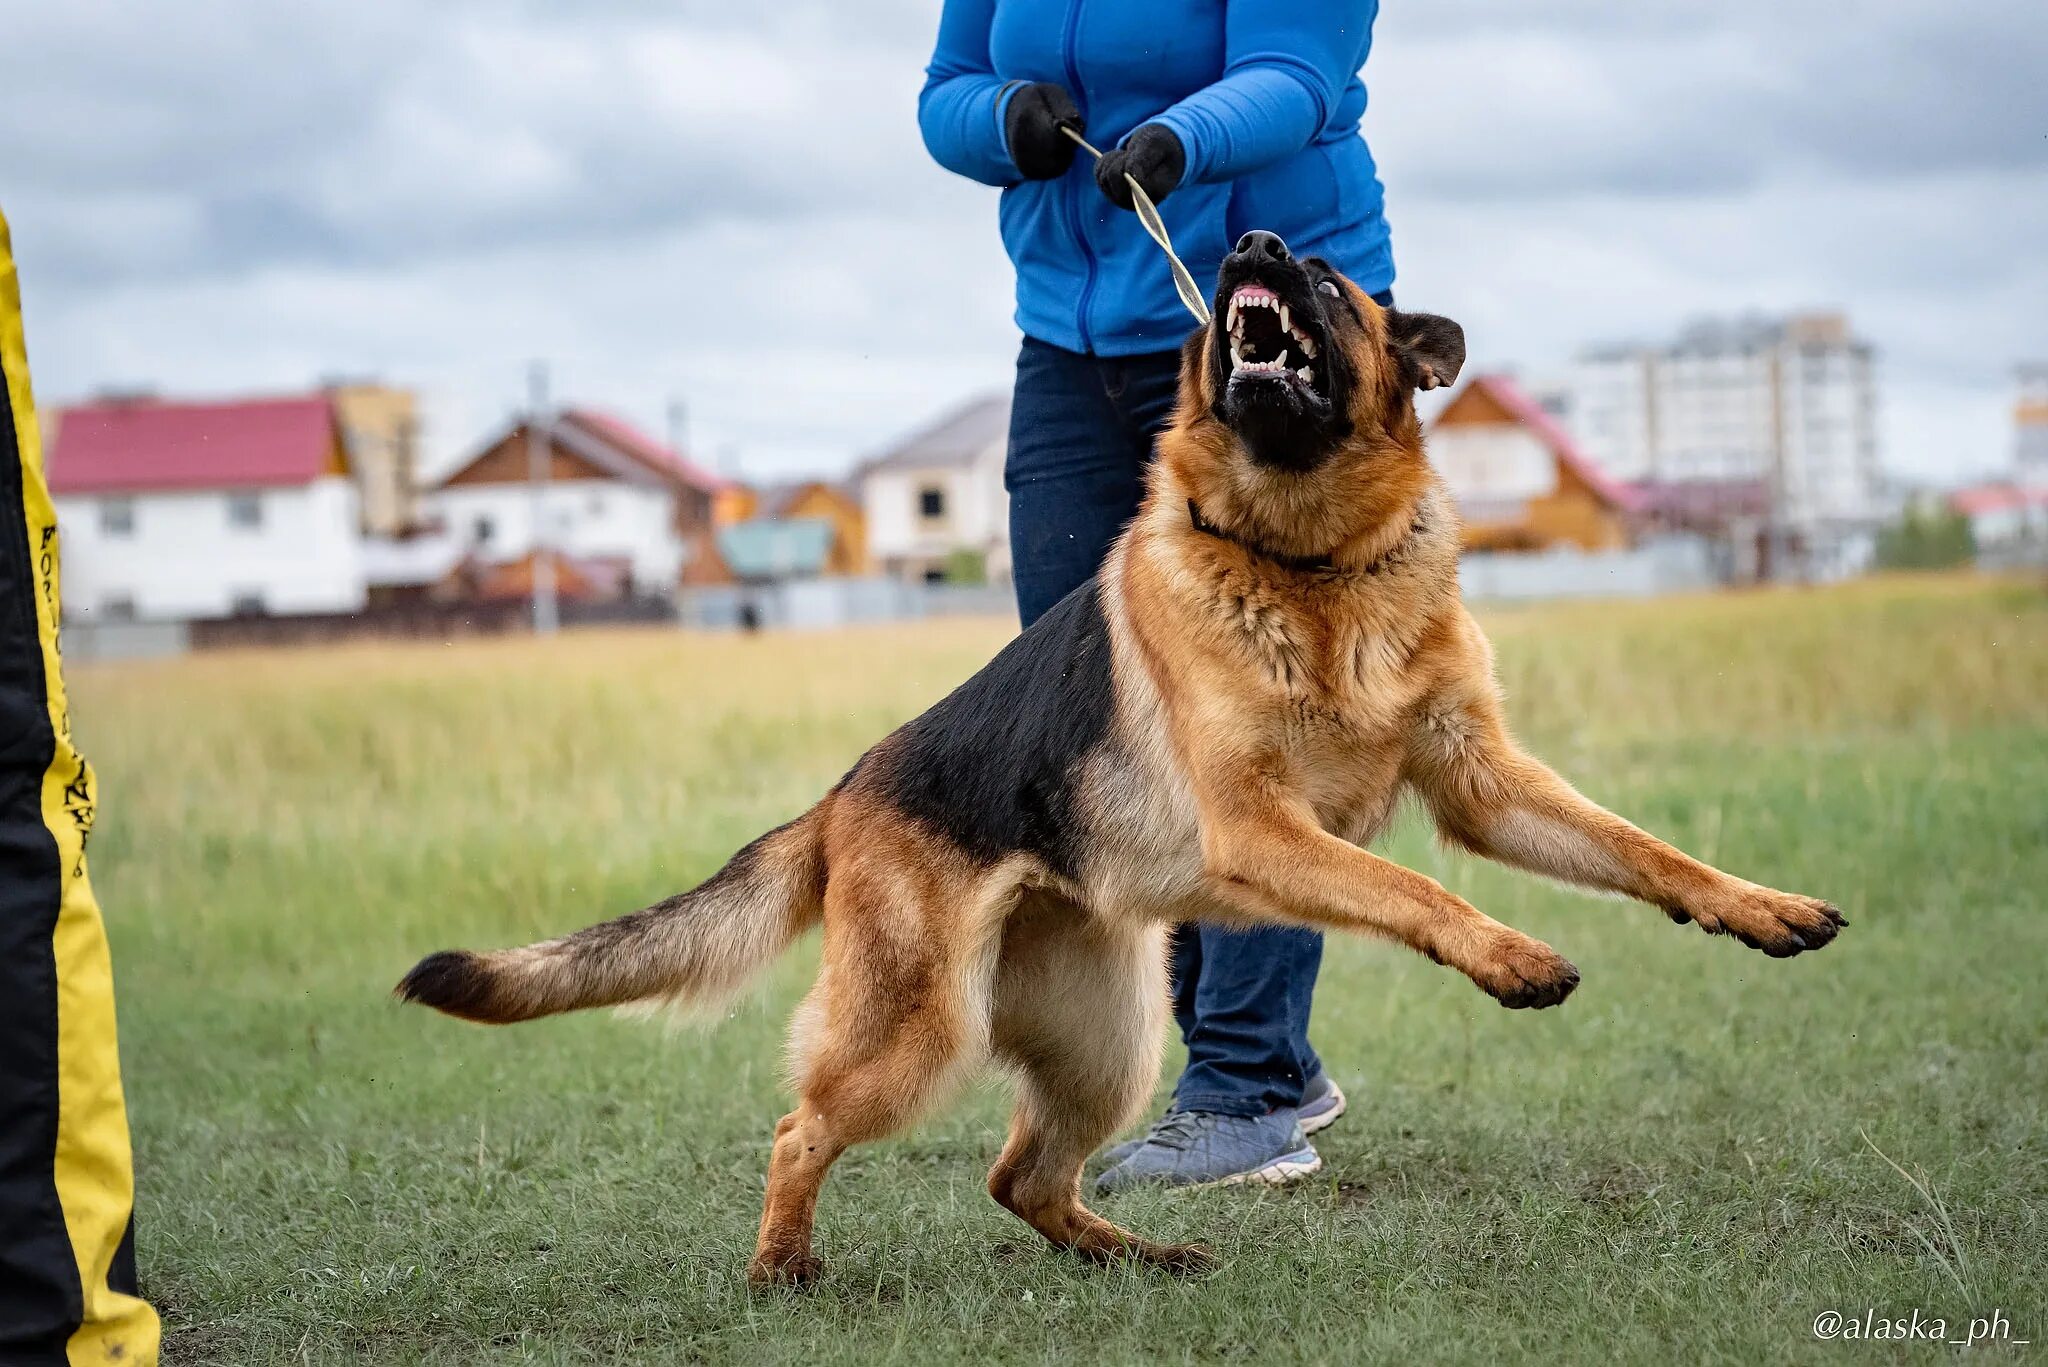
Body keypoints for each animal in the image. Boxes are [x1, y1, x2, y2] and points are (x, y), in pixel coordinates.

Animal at [395, 229, 1843, 1287]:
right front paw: (1508, 953)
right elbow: (1419, 889)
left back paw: (1133, 1253)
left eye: (1327, 283)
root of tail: (842, 795)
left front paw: (1754, 904)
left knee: (1019, 1174)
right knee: (803, 1124)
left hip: (1113, 1036)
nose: (1249, 235)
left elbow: (1642, 846)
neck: (1311, 562)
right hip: (918, 1029)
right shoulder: (1264, 829)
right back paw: (781, 1266)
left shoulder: (1481, 780)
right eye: (1247, 284)